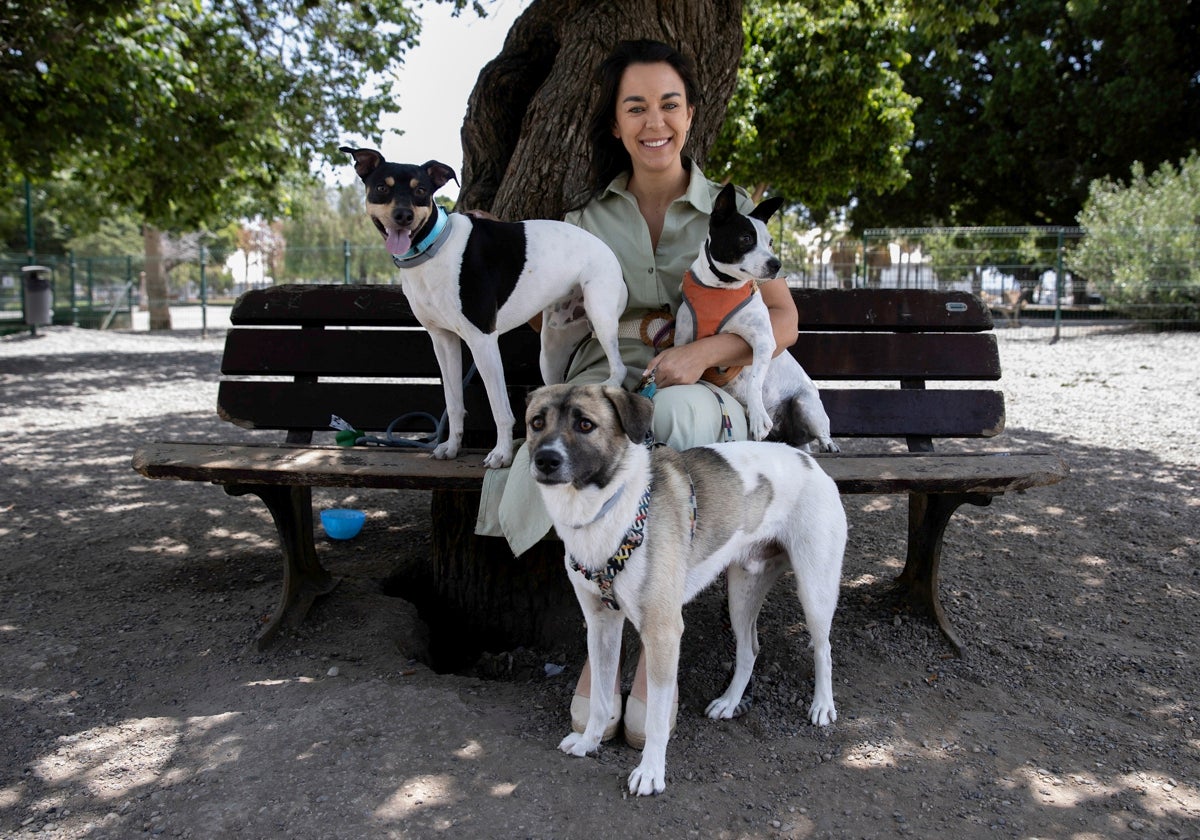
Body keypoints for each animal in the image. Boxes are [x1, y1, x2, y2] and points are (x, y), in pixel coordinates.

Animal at [333, 147, 624, 470]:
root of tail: (606, 248)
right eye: (382, 188)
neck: (434, 248)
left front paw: (502, 453)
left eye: (421, 191)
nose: (403, 216)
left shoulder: (483, 341)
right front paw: (451, 446)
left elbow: (500, 408)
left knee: (619, 369)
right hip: (551, 349)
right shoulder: (443, 340)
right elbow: (453, 402)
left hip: (600, 316)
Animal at [530, 384, 849, 796]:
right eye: (537, 422)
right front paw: (589, 742)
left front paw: (650, 772)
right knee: (750, 649)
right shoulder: (601, 624)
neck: (608, 507)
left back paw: (822, 705)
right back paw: (730, 702)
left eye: (585, 424)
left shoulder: (663, 632)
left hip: (815, 588)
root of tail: (802, 457)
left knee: (823, 648)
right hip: (742, 593)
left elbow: (654, 718)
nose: (545, 460)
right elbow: (600, 699)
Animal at [676, 184, 835, 453]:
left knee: (820, 430)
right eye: (746, 238)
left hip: (806, 405)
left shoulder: (763, 341)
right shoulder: (683, 341)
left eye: (770, 242)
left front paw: (759, 416)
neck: (721, 287)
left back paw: (829, 444)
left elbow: (754, 381)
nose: (777, 264)